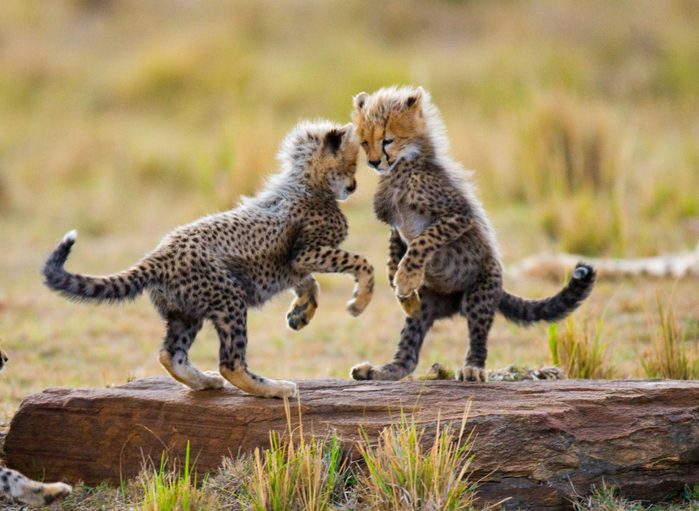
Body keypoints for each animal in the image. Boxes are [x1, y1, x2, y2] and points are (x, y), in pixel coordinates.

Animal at [42, 120, 374, 399]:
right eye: (352, 163)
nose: (354, 186)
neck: (307, 182)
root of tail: (159, 254)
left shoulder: (294, 265)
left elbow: (310, 283)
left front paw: (300, 314)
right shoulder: (307, 252)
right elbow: (361, 263)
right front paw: (359, 302)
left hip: (185, 311)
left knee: (170, 354)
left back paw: (204, 382)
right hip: (229, 299)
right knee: (231, 363)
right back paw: (273, 388)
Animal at [349, 86, 596, 382]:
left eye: (387, 140)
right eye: (364, 142)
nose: (374, 162)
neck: (402, 167)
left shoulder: (458, 215)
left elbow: (422, 241)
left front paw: (406, 279)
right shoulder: (395, 227)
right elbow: (394, 252)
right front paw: (399, 286)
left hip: (480, 292)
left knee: (478, 337)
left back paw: (473, 368)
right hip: (427, 305)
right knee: (408, 354)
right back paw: (381, 369)